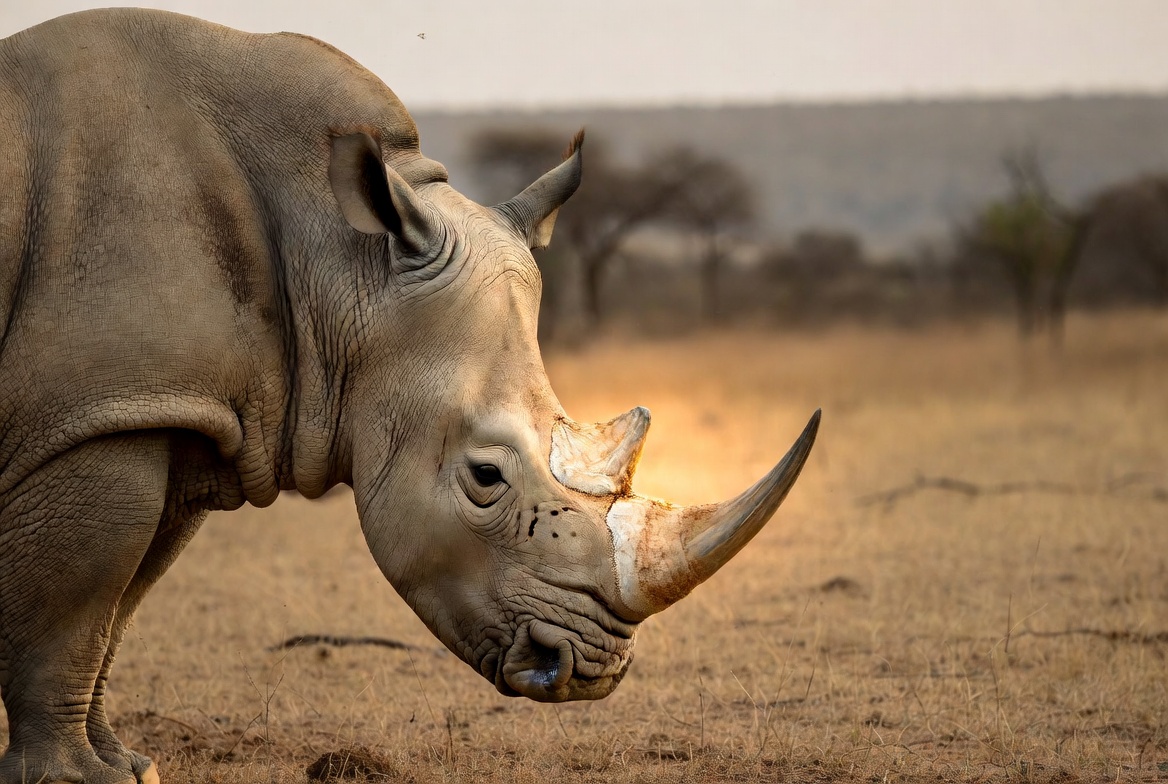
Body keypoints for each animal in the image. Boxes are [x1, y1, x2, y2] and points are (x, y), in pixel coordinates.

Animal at [0, 8, 819, 784]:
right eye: (484, 477)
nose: (588, 671)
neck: (338, 259)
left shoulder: (175, 407)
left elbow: (120, 602)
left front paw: (131, 766)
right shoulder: (101, 414)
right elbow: (77, 599)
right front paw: (72, 779)